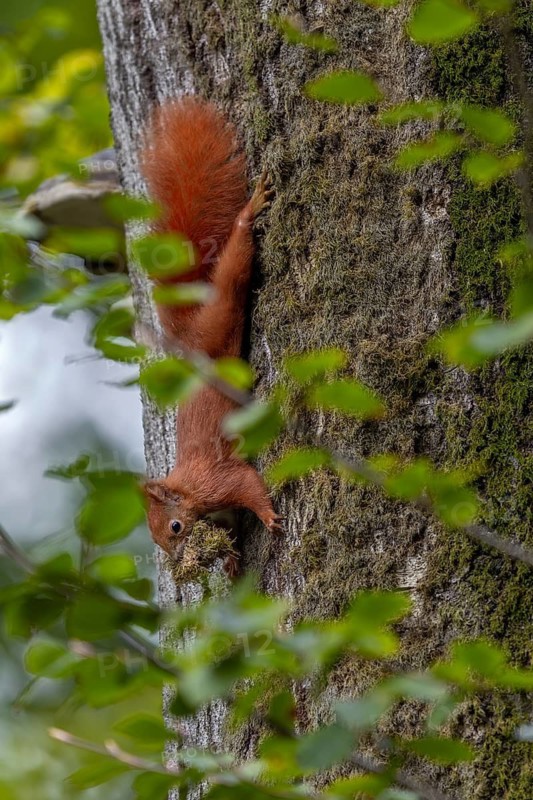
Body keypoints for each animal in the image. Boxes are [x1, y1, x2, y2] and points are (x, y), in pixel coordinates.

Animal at [140, 98, 282, 575]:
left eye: (175, 528)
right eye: (158, 540)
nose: (178, 564)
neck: (185, 485)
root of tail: (188, 338)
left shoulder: (215, 479)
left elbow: (248, 485)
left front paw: (268, 516)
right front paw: (233, 559)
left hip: (220, 314)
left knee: (234, 268)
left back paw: (250, 211)